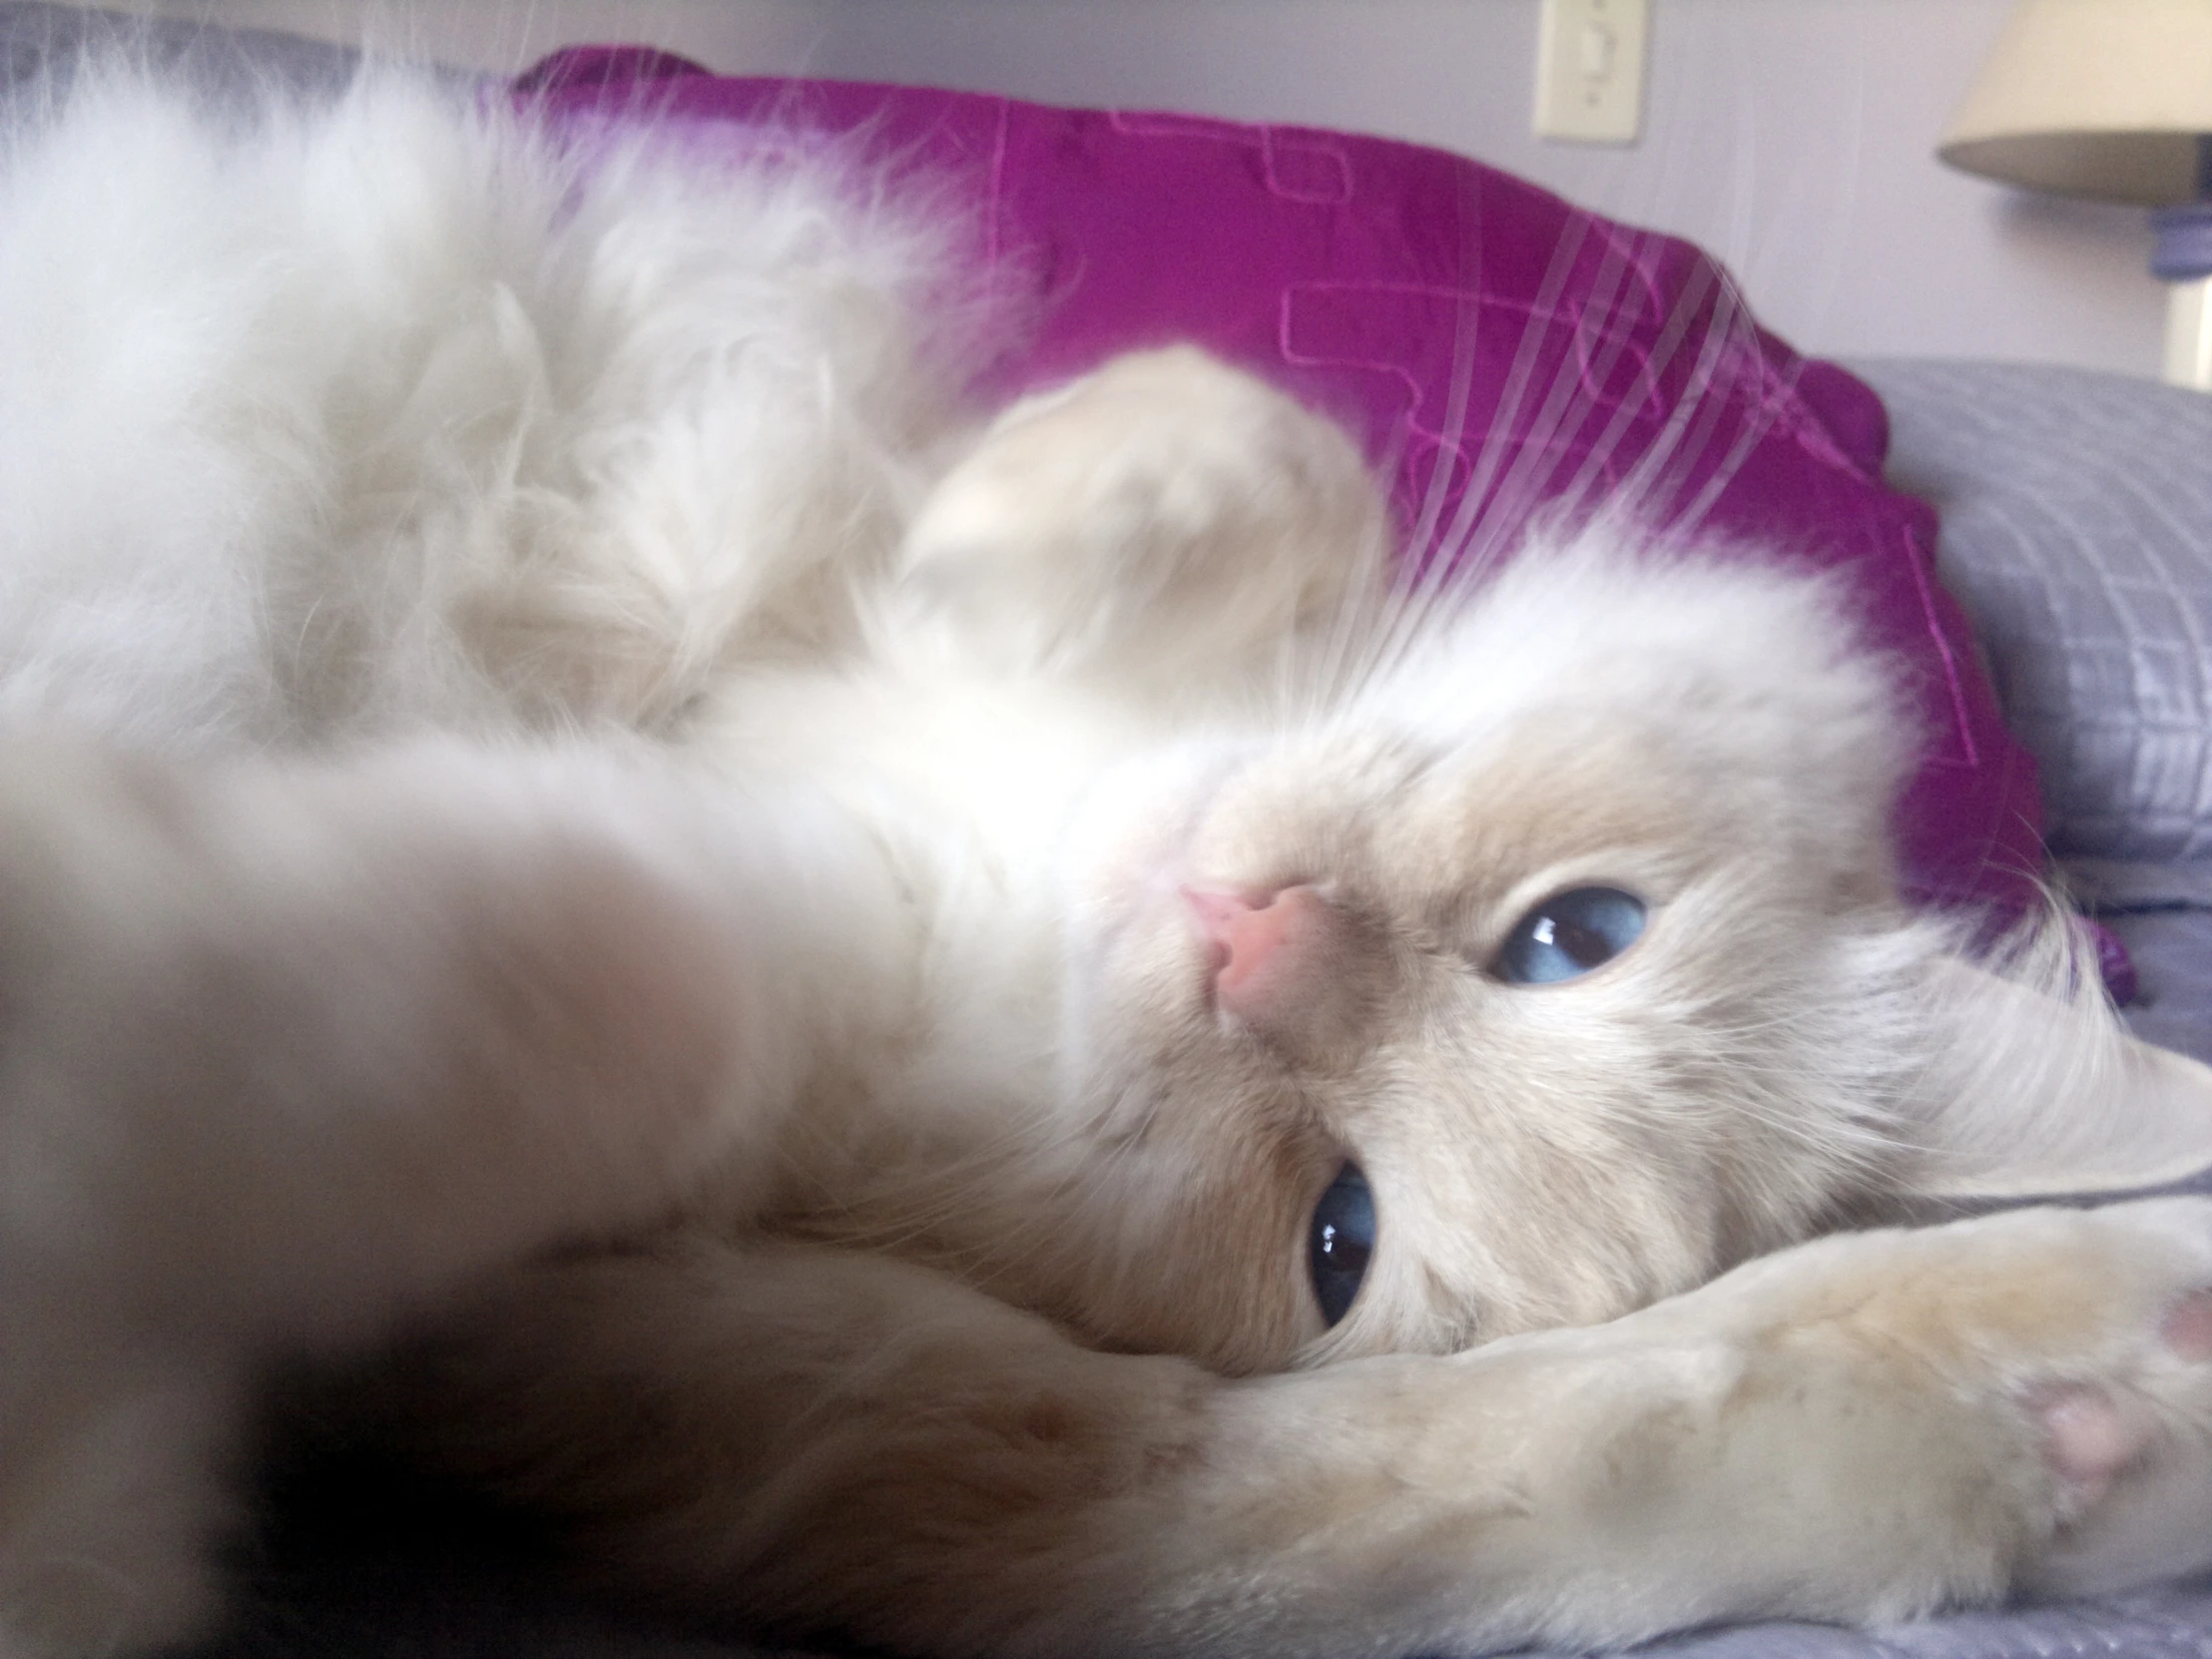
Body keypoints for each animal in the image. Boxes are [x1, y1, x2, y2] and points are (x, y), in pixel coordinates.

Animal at [0, 52, 2212, 1659]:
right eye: (1575, 937)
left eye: (1340, 1233)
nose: (1251, 942)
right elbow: (1259, 462)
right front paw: (1063, 530)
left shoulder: (634, 1265)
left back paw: (2095, 1404)